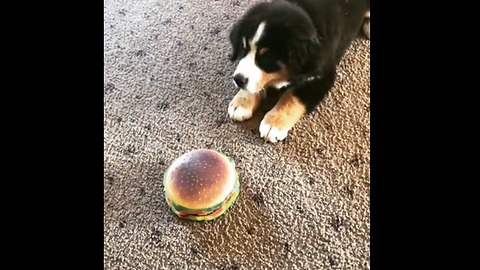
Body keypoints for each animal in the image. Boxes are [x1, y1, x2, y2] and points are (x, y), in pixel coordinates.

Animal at [227, 0, 370, 143]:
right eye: (243, 48)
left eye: (267, 58)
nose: (238, 80)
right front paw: (242, 101)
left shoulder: (322, 76)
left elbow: (292, 97)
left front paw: (274, 123)